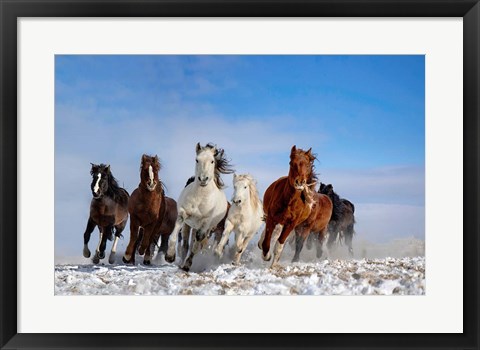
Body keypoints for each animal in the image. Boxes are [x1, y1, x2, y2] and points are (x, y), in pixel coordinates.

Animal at [165, 142, 234, 270]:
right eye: (197, 160)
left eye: (212, 161)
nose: (203, 179)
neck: (200, 198)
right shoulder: (183, 215)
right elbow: (174, 236)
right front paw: (170, 256)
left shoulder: (204, 225)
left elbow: (197, 245)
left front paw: (188, 265)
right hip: (189, 225)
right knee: (185, 245)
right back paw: (181, 263)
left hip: (206, 228)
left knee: (195, 243)